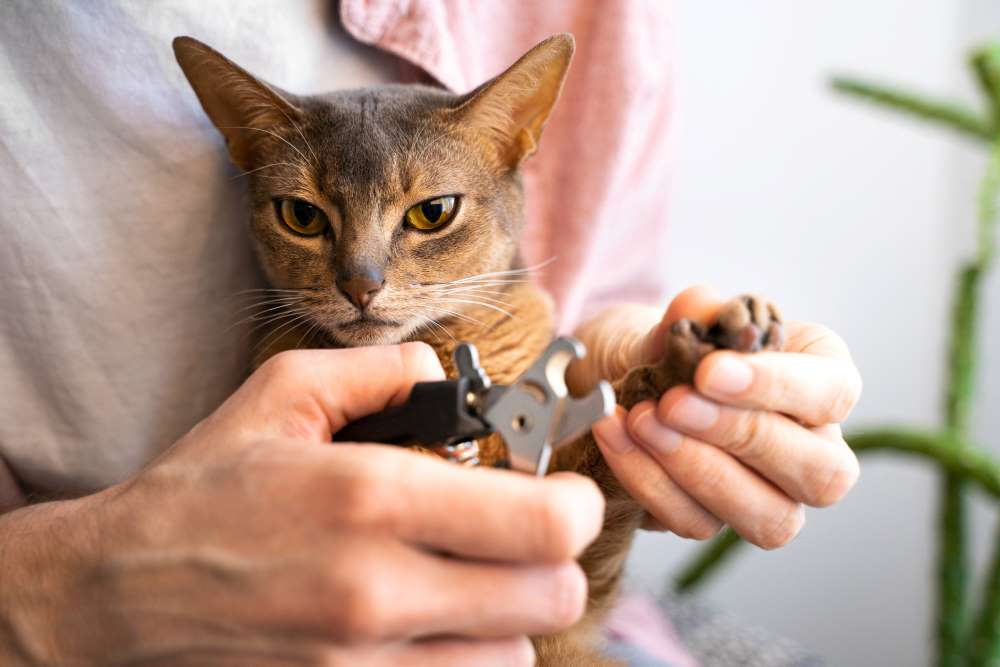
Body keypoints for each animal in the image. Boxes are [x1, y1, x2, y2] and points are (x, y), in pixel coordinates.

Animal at [174, 34, 780, 664]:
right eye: (302, 215)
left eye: (432, 212)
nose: (360, 285)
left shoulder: (581, 584)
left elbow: (597, 464)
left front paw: (700, 350)